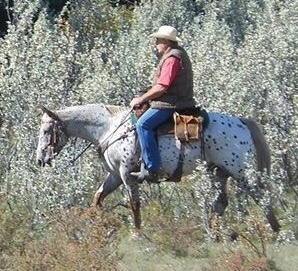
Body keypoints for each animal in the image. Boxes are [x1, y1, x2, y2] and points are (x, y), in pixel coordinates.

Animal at [36, 103, 280, 235]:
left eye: (47, 131)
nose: (39, 160)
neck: (109, 128)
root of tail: (241, 122)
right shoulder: (114, 175)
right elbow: (98, 197)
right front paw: (94, 225)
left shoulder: (127, 174)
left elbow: (134, 204)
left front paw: (137, 234)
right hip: (217, 172)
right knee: (221, 203)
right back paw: (215, 234)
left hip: (240, 172)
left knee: (262, 196)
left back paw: (275, 232)